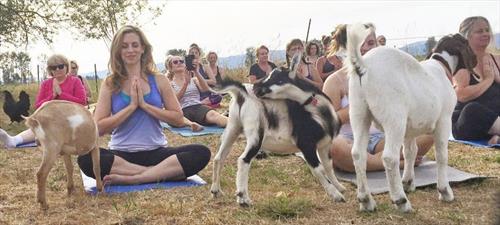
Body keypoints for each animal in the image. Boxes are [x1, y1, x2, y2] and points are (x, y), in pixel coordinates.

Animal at [209, 54, 346, 206]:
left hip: (233, 127)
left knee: (219, 157)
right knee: (243, 160)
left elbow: (328, 166)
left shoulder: (324, 145)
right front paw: (336, 195)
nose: (256, 87)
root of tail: (242, 94)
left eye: (277, 77)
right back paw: (243, 198)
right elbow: (319, 170)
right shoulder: (306, 144)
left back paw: (216, 190)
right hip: (256, 134)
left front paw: (339, 186)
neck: (317, 111)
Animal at [346, 23, 474, 212]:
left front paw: (408, 182)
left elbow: (410, 152)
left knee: (357, 154)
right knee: (389, 157)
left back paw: (366, 200)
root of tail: (363, 66)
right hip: (394, 117)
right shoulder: (444, 120)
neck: (441, 67)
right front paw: (445, 191)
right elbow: (441, 154)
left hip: (359, 113)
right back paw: (401, 201)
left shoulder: (410, 128)